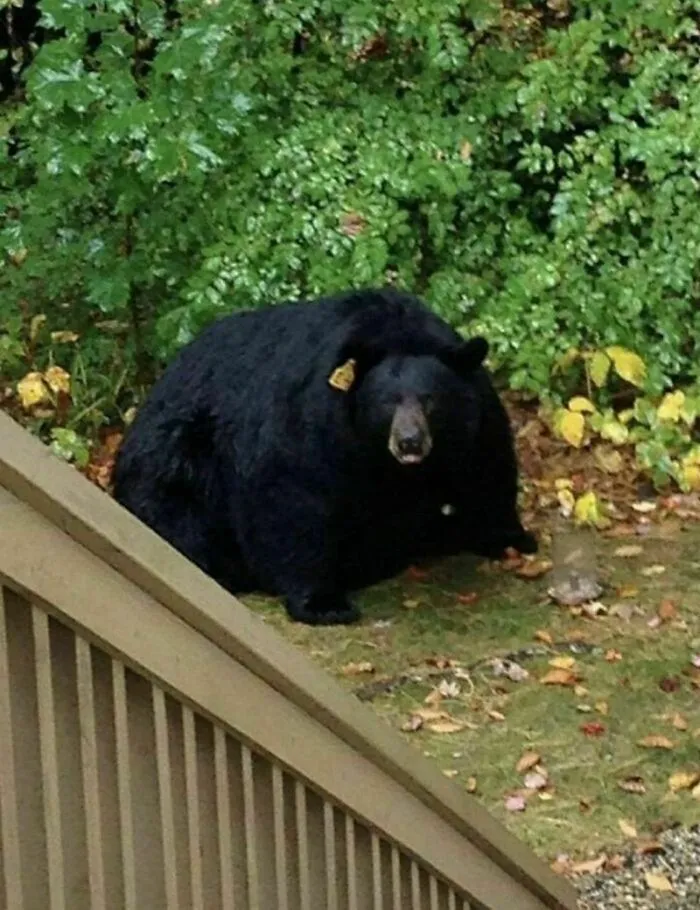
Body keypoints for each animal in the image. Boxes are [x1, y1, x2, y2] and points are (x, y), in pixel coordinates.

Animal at [112, 288, 536, 625]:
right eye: (387, 403)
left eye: (430, 400)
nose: (410, 443)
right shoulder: (313, 422)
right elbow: (294, 499)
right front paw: (323, 603)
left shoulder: (474, 419)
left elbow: (486, 468)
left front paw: (512, 537)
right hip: (179, 455)